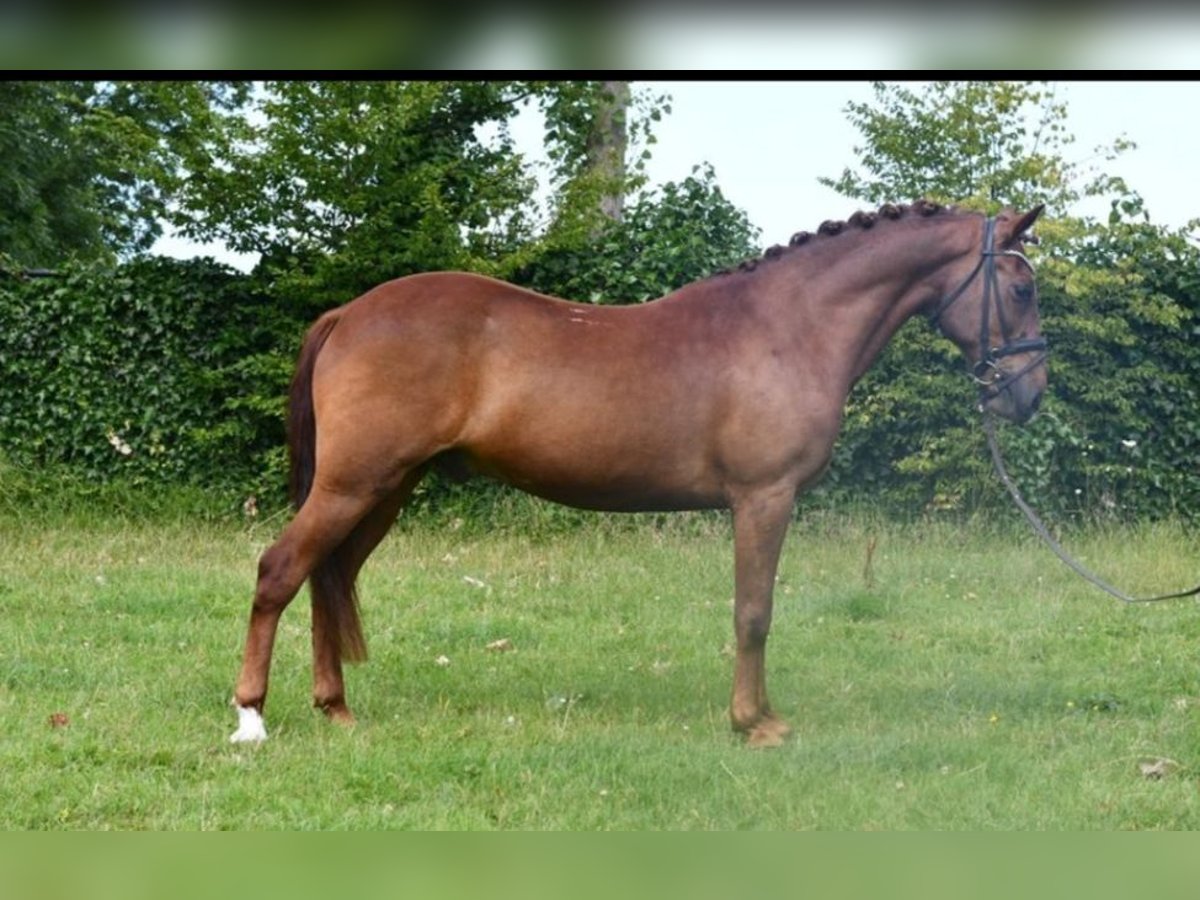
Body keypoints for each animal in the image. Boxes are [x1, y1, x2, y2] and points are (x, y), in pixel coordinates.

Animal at [229, 200, 1046, 748]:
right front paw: (754, 723)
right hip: (354, 485)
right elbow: (754, 613)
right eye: (1022, 288)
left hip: (385, 491)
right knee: (280, 570)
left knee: (329, 575)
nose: (1030, 395)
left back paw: (335, 707)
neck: (788, 329)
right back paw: (250, 717)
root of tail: (348, 313)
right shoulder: (764, 499)